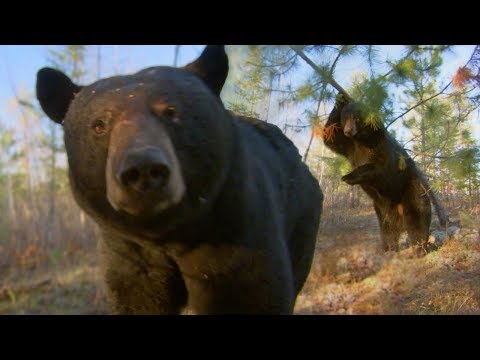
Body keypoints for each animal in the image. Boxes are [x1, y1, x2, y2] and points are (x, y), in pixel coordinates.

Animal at [36, 45, 322, 316]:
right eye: (98, 125)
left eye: (170, 111)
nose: (142, 168)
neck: (169, 236)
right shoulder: (128, 252)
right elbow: (137, 299)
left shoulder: (235, 233)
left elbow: (248, 295)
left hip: (302, 218)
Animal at [326, 95, 432, 253]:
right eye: (345, 117)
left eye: (356, 118)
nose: (348, 130)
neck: (360, 139)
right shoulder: (349, 145)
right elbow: (330, 136)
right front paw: (340, 98)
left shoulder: (379, 145)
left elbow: (379, 167)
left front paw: (348, 176)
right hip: (381, 209)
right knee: (387, 230)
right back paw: (389, 247)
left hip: (412, 188)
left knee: (418, 217)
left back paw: (418, 249)